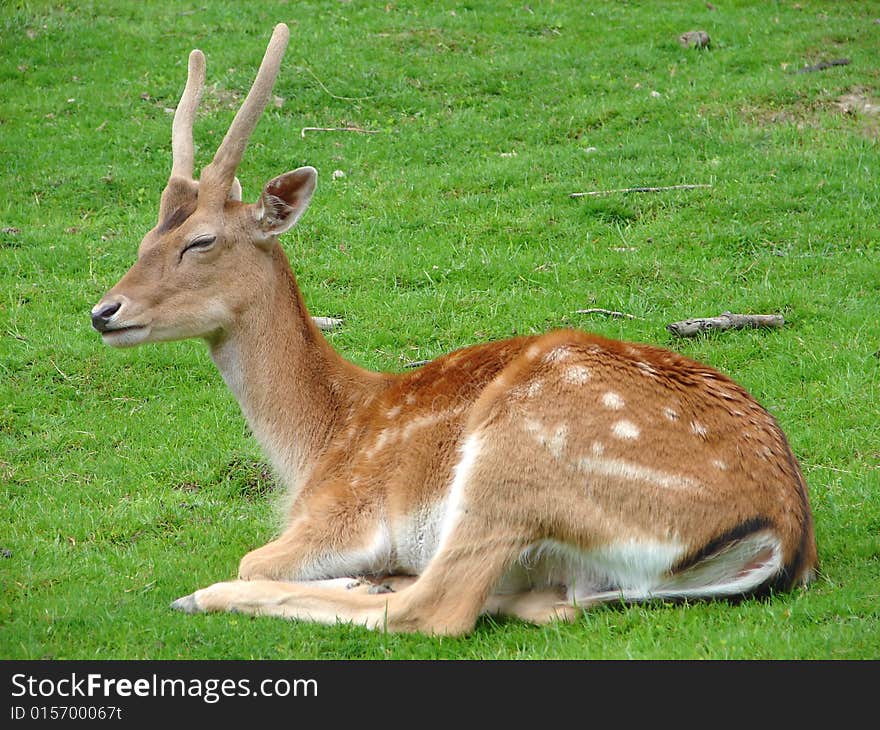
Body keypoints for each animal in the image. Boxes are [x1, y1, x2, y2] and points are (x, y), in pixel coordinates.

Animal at [91, 24, 820, 632]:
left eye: (201, 241)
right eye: (145, 237)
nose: (104, 312)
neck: (318, 445)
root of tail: (786, 536)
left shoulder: (347, 513)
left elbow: (255, 557)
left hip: (515, 459)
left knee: (438, 607)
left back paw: (214, 595)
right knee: (545, 604)